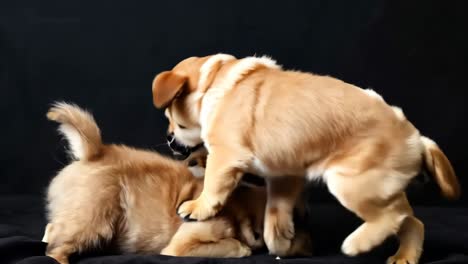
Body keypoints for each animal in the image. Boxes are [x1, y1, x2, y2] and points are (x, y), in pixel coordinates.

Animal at [42, 102, 310, 264]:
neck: (241, 205)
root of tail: (93, 152)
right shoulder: (183, 247)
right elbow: (233, 245)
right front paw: (243, 247)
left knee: (52, 230)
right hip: (93, 221)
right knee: (55, 249)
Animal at [152, 54, 458, 264]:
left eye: (175, 122)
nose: (168, 139)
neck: (214, 82)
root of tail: (417, 140)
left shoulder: (225, 157)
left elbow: (213, 187)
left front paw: (198, 207)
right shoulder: (283, 177)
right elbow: (275, 214)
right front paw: (282, 239)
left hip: (351, 184)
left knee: (390, 216)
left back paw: (356, 244)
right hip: (381, 191)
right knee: (409, 219)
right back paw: (405, 256)